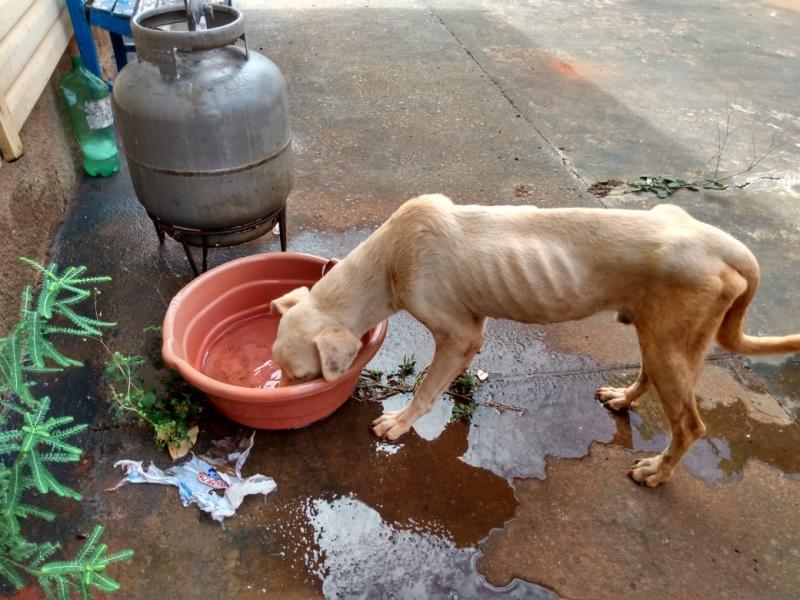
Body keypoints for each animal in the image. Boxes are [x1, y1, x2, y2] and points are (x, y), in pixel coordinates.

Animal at [270, 197, 800, 488]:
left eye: (300, 376)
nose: (277, 395)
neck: (389, 259)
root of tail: (721, 242)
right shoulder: (472, 328)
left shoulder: (457, 331)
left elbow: (425, 388)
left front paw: (399, 422)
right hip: (657, 333)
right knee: (650, 376)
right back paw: (623, 397)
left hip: (671, 343)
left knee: (690, 426)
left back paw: (657, 472)